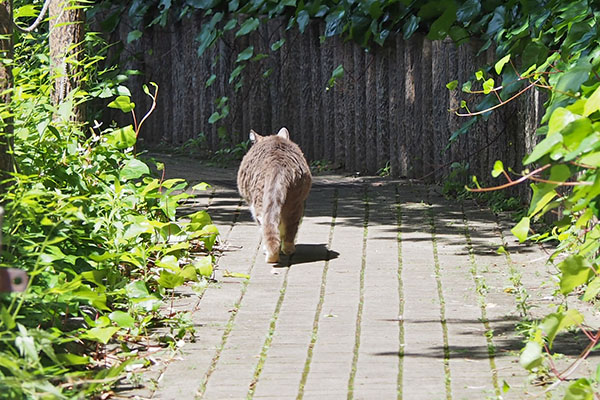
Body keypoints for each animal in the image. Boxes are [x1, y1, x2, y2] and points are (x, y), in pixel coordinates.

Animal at [237, 126, 312, 264]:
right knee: (290, 227)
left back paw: (271, 254)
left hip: (259, 204)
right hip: (295, 203)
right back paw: (287, 249)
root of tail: (278, 164)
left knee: (267, 225)